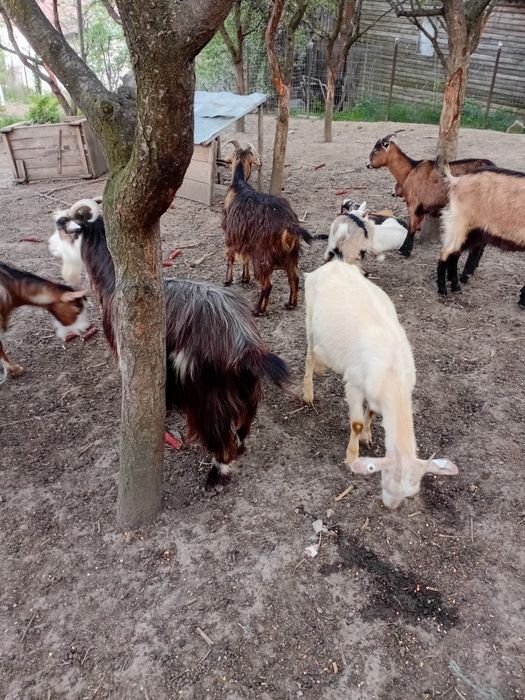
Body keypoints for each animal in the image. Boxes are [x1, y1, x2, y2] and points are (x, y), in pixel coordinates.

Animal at [56, 199, 291, 493]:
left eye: (70, 224)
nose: (58, 222)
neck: (114, 284)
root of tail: (245, 344)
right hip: (245, 390)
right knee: (243, 427)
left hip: (209, 395)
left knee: (221, 439)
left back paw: (216, 476)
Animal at [221, 140, 313, 315]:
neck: (239, 184)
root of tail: (288, 224)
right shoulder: (245, 238)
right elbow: (245, 258)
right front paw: (245, 278)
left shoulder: (230, 233)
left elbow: (230, 257)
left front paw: (228, 280)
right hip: (291, 254)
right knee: (294, 278)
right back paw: (290, 304)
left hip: (263, 253)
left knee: (267, 284)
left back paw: (258, 310)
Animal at [302, 258, 458, 508]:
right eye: (387, 479)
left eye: (410, 492)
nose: (390, 507)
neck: (392, 373)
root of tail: (332, 264)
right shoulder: (354, 383)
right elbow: (356, 423)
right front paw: (352, 457)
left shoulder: (376, 392)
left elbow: (373, 412)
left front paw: (367, 435)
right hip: (309, 318)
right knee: (309, 353)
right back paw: (307, 392)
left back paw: (321, 368)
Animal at [366, 133, 495, 262]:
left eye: (376, 150)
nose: (368, 165)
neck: (410, 171)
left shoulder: (415, 205)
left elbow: (411, 228)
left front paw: (405, 251)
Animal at [438, 165, 525, 308]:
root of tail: (457, 181)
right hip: (460, 223)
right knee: (446, 251)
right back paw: (443, 290)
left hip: (474, 232)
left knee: (455, 253)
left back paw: (456, 286)